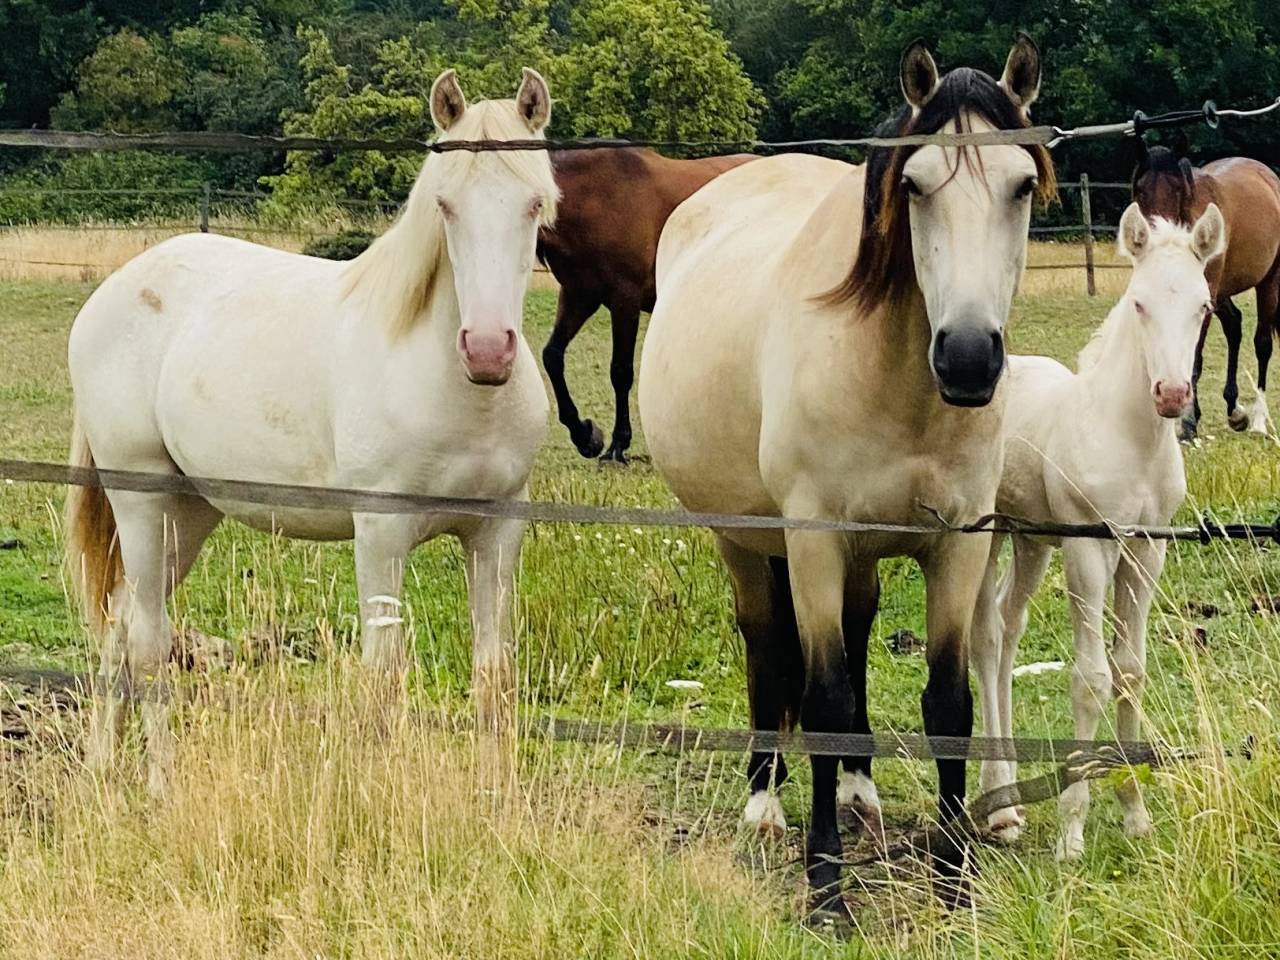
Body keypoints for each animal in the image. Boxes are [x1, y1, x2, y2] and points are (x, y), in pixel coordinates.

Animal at [63, 68, 559, 796]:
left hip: (189, 511)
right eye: (446, 206)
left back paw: (101, 765)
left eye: (534, 204)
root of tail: (115, 289)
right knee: (149, 641)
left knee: (123, 623)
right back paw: (160, 783)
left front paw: (494, 797)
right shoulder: (380, 531)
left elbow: (493, 673)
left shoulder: (499, 531)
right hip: (142, 499)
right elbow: (384, 675)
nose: (489, 350)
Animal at [537, 148, 755, 462]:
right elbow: (552, 356)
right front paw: (586, 436)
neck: (593, 198)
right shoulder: (579, 295)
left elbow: (620, 371)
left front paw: (618, 444)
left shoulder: (624, 299)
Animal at [638, 36, 1054, 917]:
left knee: (860, 635)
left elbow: (947, 702)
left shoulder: (959, 544)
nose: (969, 357)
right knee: (767, 641)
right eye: (916, 185)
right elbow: (823, 696)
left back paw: (860, 791)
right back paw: (764, 801)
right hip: (743, 539)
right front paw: (826, 886)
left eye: (1022, 184)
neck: (892, 376)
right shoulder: (815, 542)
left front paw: (954, 876)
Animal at [970, 203, 1225, 860]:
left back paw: (1011, 797)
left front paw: (1135, 811)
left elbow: (1130, 671)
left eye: (1204, 305)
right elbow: (1091, 678)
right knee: (985, 636)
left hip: (1030, 538)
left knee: (1009, 627)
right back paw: (1000, 803)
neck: (1129, 439)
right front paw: (1072, 829)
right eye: (1138, 302)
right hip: (986, 534)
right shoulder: (1087, 547)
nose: (1172, 394)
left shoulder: (1146, 548)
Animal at [1133, 142, 1280, 439]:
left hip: (1268, 282)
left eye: (1178, 188)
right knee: (1234, 326)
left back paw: (1259, 419)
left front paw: (1188, 424)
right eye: (1140, 189)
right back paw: (1235, 412)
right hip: (1223, 292)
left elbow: (1194, 357)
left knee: (1263, 344)